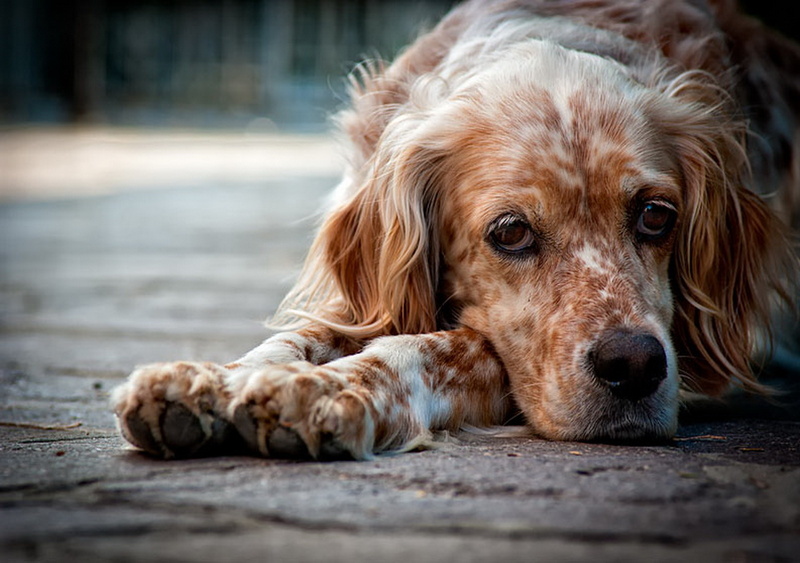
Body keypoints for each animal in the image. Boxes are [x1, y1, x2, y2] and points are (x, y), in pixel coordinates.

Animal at [111, 0, 792, 458]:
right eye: (511, 232)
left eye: (656, 215)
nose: (635, 366)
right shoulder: (367, 296)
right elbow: (298, 337)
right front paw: (209, 381)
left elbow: (444, 348)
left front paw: (327, 388)